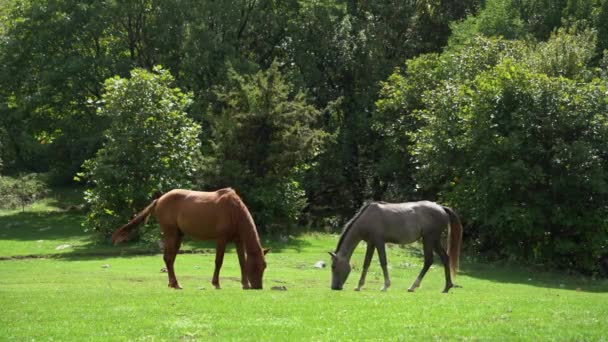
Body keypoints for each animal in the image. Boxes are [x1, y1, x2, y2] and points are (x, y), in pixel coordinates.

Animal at [111, 188, 268, 290]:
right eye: (256, 266)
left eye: (264, 266)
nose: (258, 287)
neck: (233, 210)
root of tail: (159, 199)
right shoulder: (221, 239)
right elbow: (219, 261)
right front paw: (216, 283)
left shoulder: (238, 240)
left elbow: (242, 262)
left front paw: (245, 284)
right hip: (171, 233)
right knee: (168, 258)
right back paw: (175, 284)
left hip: (178, 236)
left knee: (170, 259)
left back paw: (173, 283)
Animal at [330, 202, 464, 292]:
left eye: (333, 267)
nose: (334, 287)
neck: (367, 218)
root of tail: (441, 208)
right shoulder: (371, 243)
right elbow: (366, 263)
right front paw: (359, 286)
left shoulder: (379, 242)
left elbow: (383, 262)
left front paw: (385, 285)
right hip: (434, 241)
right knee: (445, 258)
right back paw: (447, 287)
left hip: (429, 239)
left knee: (428, 261)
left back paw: (413, 286)